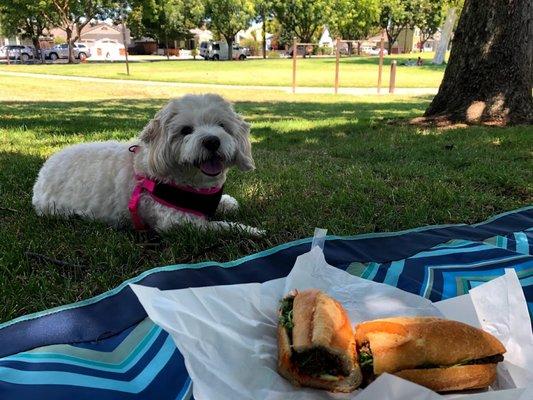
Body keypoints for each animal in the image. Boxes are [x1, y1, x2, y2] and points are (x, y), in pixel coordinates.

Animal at [32, 94, 262, 236]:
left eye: (222, 126)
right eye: (186, 130)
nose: (212, 141)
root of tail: (42, 173)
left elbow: (226, 205)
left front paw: (228, 203)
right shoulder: (179, 223)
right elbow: (221, 226)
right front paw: (250, 230)